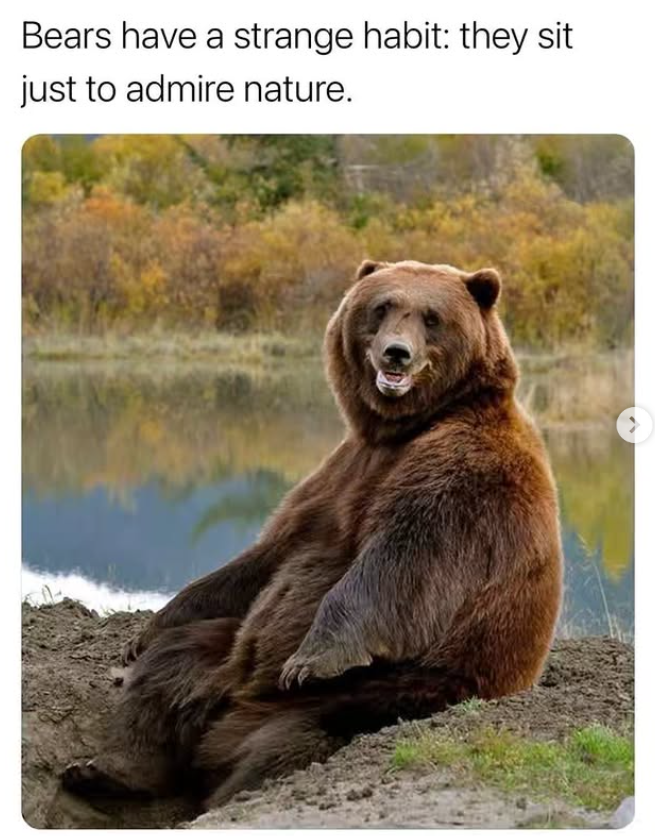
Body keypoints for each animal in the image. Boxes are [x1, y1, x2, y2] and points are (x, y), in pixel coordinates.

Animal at [62, 259, 563, 810]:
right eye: (382, 306)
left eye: (432, 317)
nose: (396, 353)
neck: (401, 430)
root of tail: (235, 705)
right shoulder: (340, 473)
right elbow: (270, 555)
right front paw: (143, 633)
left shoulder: (463, 475)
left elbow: (405, 559)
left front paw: (313, 657)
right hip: (223, 652)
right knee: (171, 668)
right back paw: (104, 772)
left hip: (391, 689)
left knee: (289, 743)